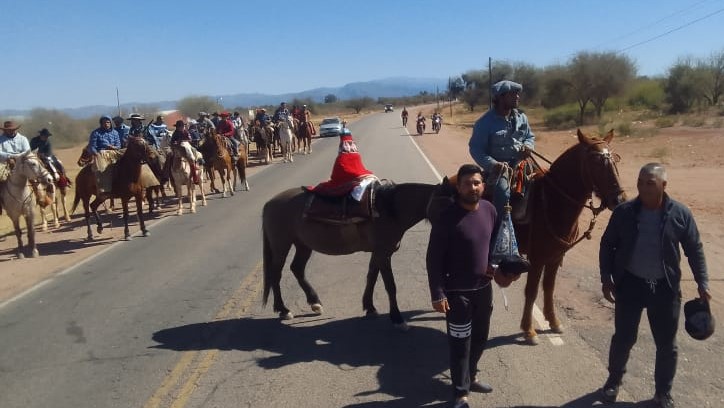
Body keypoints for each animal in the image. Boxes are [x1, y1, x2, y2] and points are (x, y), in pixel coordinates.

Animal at [262, 182, 438, 328]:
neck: (389, 209)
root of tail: (269, 203)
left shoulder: (378, 253)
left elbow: (371, 277)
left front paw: (369, 307)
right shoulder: (383, 254)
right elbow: (390, 286)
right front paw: (397, 318)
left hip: (303, 245)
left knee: (297, 268)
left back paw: (315, 302)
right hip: (281, 246)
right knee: (275, 273)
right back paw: (283, 309)